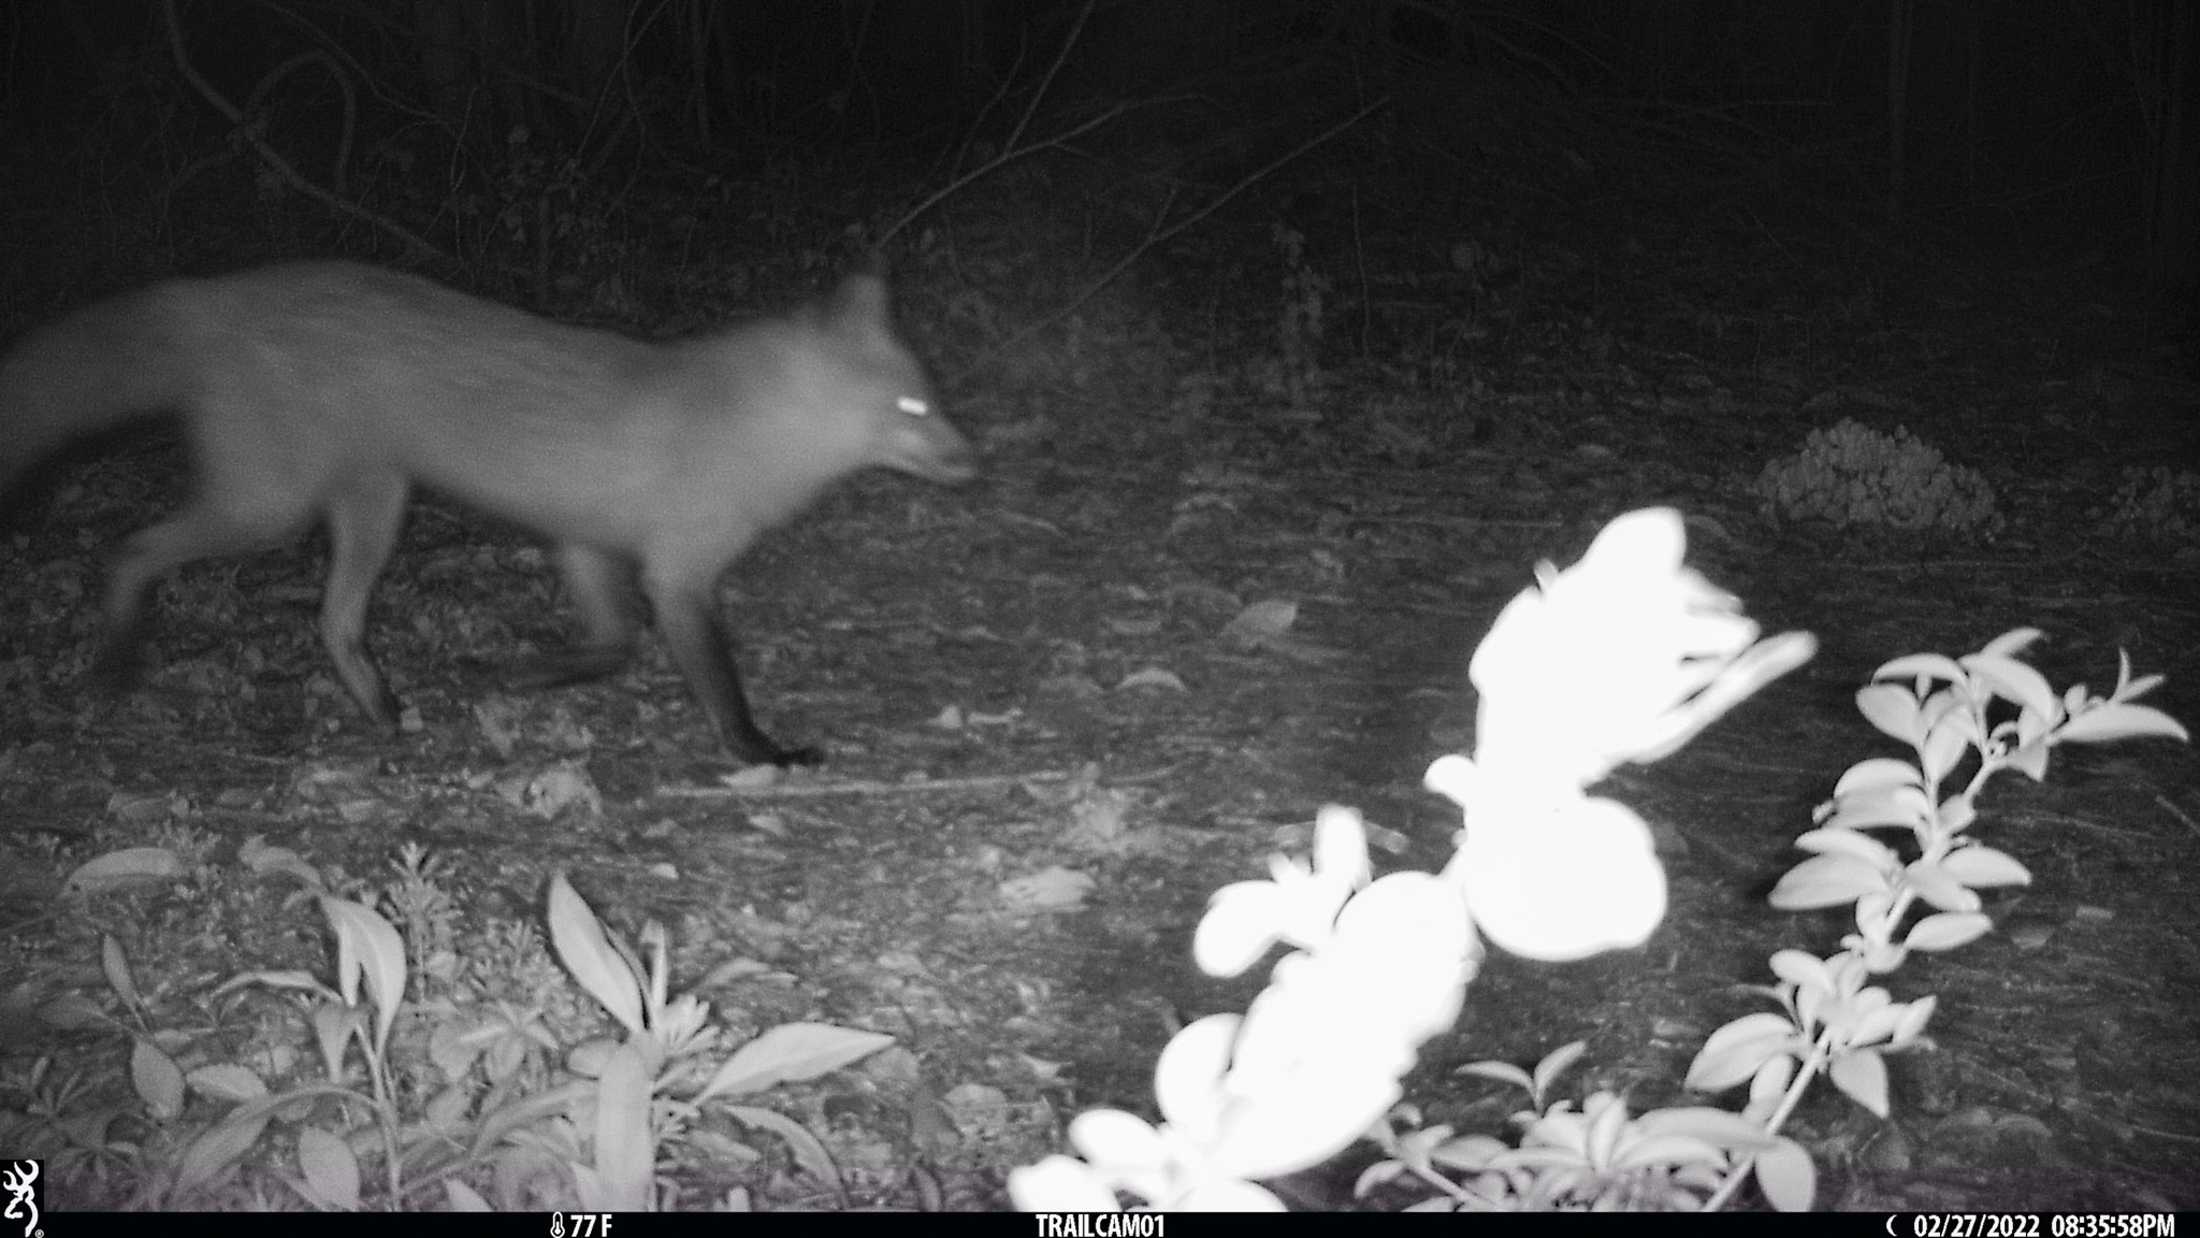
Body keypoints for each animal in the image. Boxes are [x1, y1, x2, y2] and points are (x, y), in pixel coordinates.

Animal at [0, 260, 981, 765]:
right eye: (912, 408)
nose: (977, 461)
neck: (733, 428)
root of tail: (223, 286)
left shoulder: (584, 546)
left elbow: (610, 647)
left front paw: (515, 674)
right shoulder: (678, 577)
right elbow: (713, 686)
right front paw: (763, 753)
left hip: (373, 507)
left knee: (331, 623)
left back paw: (383, 709)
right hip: (265, 507)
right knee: (125, 551)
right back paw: (117, 656)